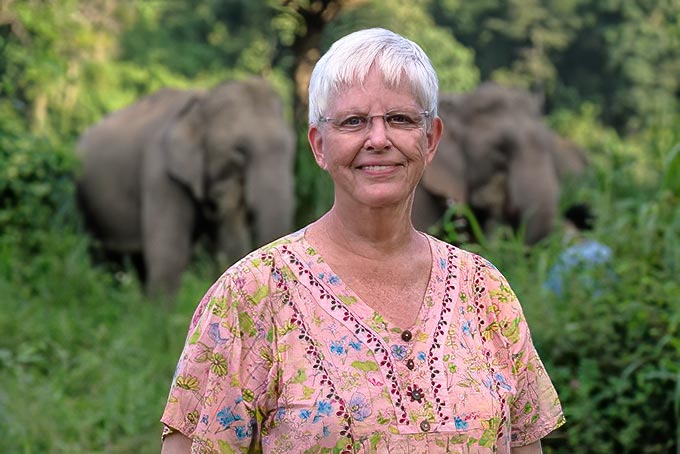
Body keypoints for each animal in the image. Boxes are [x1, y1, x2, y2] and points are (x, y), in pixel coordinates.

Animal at [76, 77, 294, 298]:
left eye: (291, 148)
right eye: (239, 151)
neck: (203, 102)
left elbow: (227, 242)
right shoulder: (160, 172)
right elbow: (170, 250)